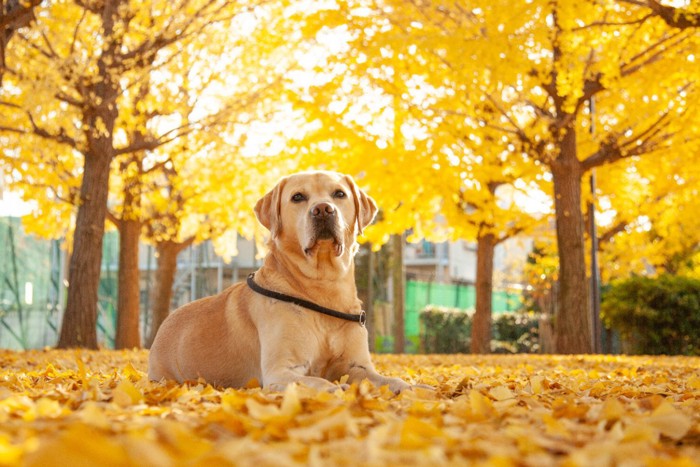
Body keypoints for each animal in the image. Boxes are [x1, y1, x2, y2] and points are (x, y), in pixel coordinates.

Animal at [146, 170, 410, 394]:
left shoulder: (357, 366)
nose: (323, 209)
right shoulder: (281, 371)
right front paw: (336, 388)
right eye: (298, 197)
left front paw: (412, 388)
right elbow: (319, 382)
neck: (324, 288)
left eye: (339, 194)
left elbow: (390, 380)